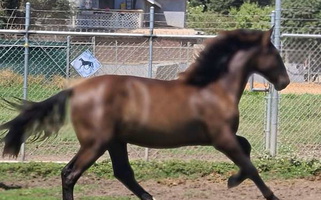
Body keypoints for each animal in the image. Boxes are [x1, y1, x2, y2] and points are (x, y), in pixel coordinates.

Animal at [0, 28, 288, 200]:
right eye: (275, 54)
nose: (284, 82)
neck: (213, 88)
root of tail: (74, 90)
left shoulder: (224, 137)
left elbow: (247, 149)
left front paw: (232, 180)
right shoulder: (221, 138)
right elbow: (250, 165)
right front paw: (258, 190)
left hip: (114, 142)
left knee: (120, 173)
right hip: (96, 143)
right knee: (72, 174)